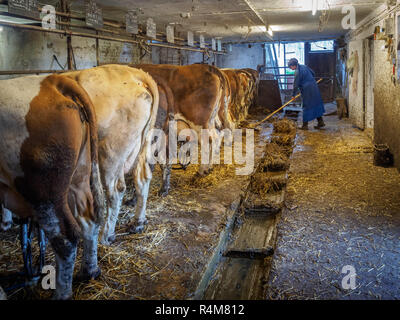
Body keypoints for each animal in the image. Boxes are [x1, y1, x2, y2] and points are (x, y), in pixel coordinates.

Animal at [0, 74, 104, 298]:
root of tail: (51, 81)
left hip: (42, 192)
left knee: (65, 238)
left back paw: (61, 293)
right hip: (79, 177)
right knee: (89, 220)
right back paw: (89, 271)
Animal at [62, 65, 159, 245]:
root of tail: (132, 72)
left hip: (110, 151)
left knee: (116, 189)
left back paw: (106, 235)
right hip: (139, 146)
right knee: (142, 178)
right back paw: (137, 223)